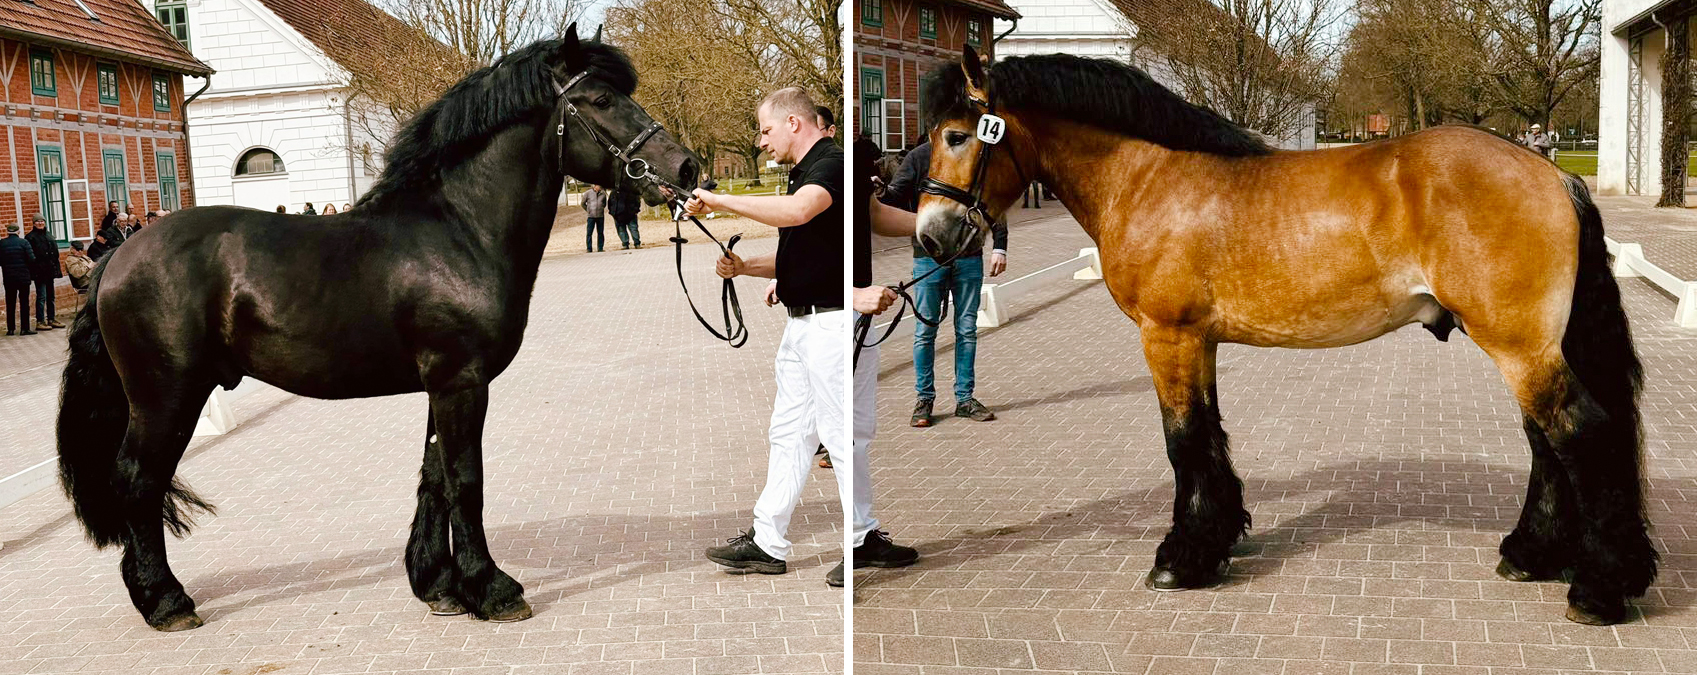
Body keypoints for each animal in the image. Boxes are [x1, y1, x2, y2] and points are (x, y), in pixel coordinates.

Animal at [56, 23, 699, 630]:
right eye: (601, 99)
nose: (687, 168)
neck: (459, 232)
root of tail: (120, 255)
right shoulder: (462, 382)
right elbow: (466, 479)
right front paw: (492, 589)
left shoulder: (445, 386)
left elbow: (434, 476)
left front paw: (439, 585)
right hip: (167, 396)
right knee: (139, 480)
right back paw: (166, 602)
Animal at [916, 48, 1656, 627]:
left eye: (955, 135)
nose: (930, 235)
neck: (1149, 176)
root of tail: (1552, 173)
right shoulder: (1199, 341)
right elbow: (1209, 434)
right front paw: (1217, 539)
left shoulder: (1167, 336)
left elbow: (1182, 440)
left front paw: (1180, 559)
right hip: (1526, 346)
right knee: (1545, 441)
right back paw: (1531, 554)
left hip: (1518, 347)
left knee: (1578, 434)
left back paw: (1599, 587)